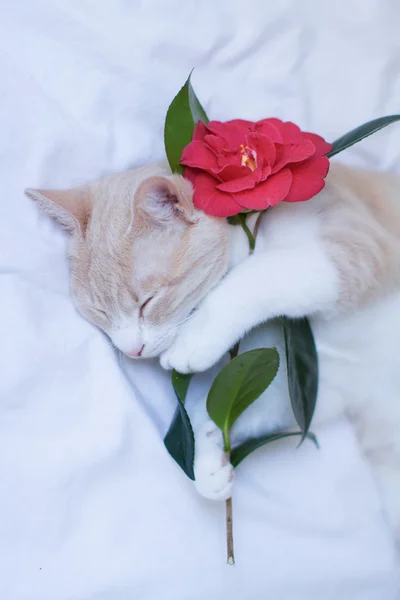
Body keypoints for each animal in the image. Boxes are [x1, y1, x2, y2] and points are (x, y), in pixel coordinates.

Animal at [25, 159, 400, 540]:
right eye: (99, 313)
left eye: (148, 302)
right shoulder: (311, 383)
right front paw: (207, 458)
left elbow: (263, 273)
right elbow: (233, 407)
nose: (132, 350)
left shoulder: (359, 249)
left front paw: (196, 338)